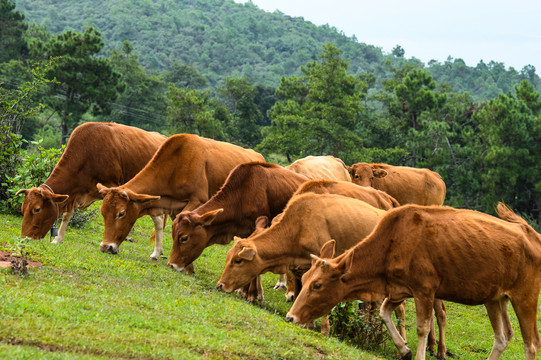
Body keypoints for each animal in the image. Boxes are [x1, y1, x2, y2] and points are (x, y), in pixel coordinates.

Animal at [16, 123, 165, 245]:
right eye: (22, 209)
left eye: (36, 209)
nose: (24, 238)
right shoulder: (73, 194)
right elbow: (67, 215)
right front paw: (58, 239)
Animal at [99, 133, 266, 264]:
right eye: (102, 213)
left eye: (121, 213)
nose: (106, 247)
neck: (176, 163)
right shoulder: (172, 206)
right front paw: (158, 253)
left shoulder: (197, 201)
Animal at [169, 163, 308, 298]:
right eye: (173, 236)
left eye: (184, 238)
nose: (171, 265)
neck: (242, 195)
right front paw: (243, 290)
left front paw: (252, 293)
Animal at [282, 204, 540, 358]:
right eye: (304, 278)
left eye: (317, 285)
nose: (290, 317)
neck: (393, 242)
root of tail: (531, 234)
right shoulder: (398, 290)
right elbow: (384, 313)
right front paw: (403, 348)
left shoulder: (424, 290)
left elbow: (422, 327)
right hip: (495, 299)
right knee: (503, 337)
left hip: (525, 298)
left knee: (531, 344)